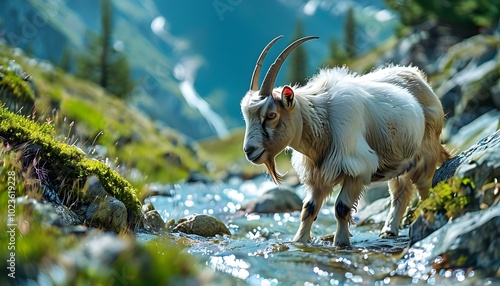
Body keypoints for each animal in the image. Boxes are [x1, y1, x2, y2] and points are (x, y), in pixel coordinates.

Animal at [240, 35, 452, 246]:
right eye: (247, 117)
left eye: (271, 115)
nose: (248, 150)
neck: (322, 119)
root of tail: (418, 77)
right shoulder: (318, 175)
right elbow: (308, 209)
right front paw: (300, 241)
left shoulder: (356, 168)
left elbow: (341, 208)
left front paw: (341, 243)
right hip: (399, 161)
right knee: (401, 192)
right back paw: (388, 231)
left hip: (426, 154)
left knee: (424, 187)